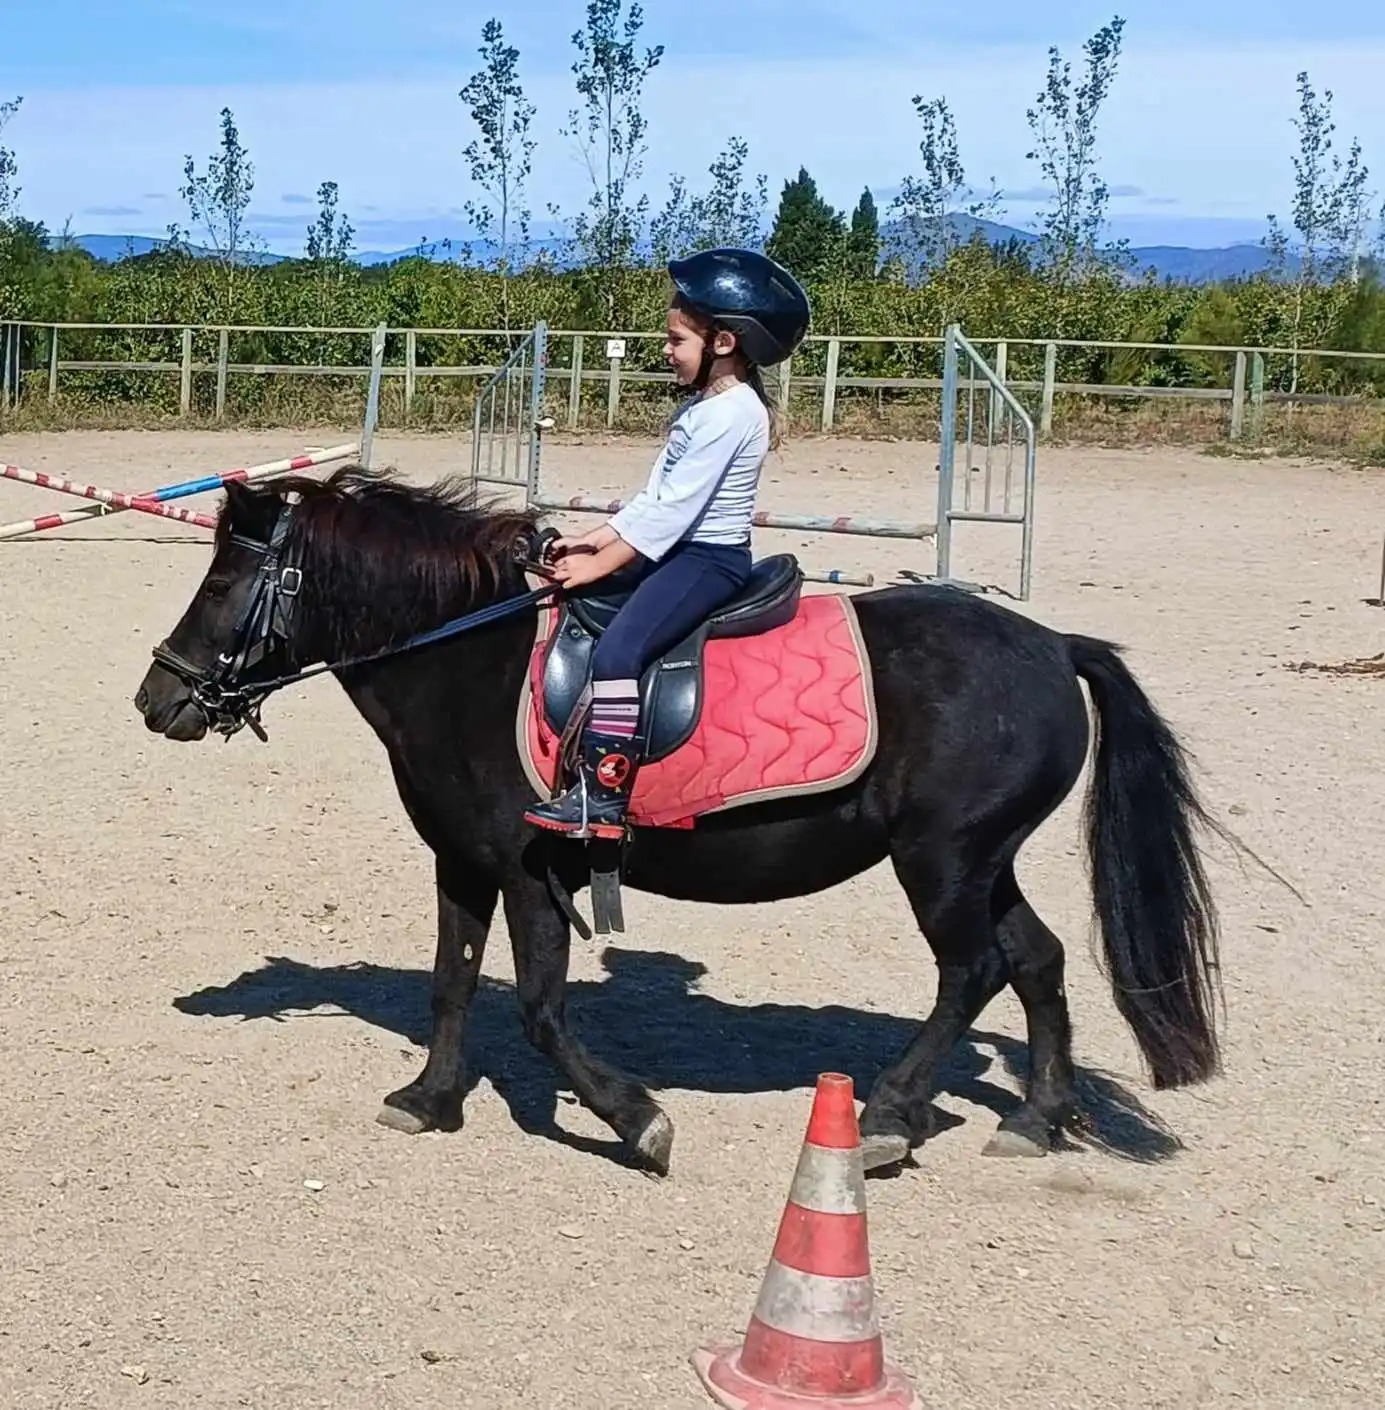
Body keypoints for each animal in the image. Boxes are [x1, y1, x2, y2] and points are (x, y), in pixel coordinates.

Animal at [132, 468, 1224, 1173]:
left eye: (222, 582)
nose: (157, 699)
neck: (466, 662)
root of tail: (1052, 645)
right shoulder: (462, 862)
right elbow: (452, 985)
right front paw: (430, 1102)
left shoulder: (531, 871)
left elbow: (538, 1011)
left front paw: (636, 1122)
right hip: (981, 859)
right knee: (1036, 960)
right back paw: (1035, 1118)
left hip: (941, 860)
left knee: (974, 971)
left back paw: (887, 1117)